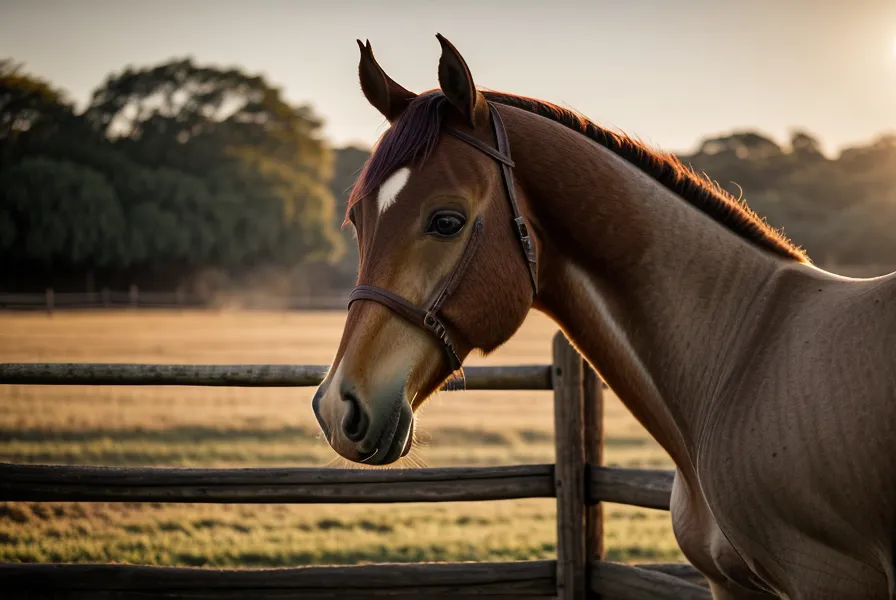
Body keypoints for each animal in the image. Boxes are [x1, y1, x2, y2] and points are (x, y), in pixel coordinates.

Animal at [310, 35, 896, 599]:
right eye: (358, 219)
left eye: (447, 220)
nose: (339, 407)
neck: (740, 350)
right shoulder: (729, 585)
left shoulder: (830, 579)